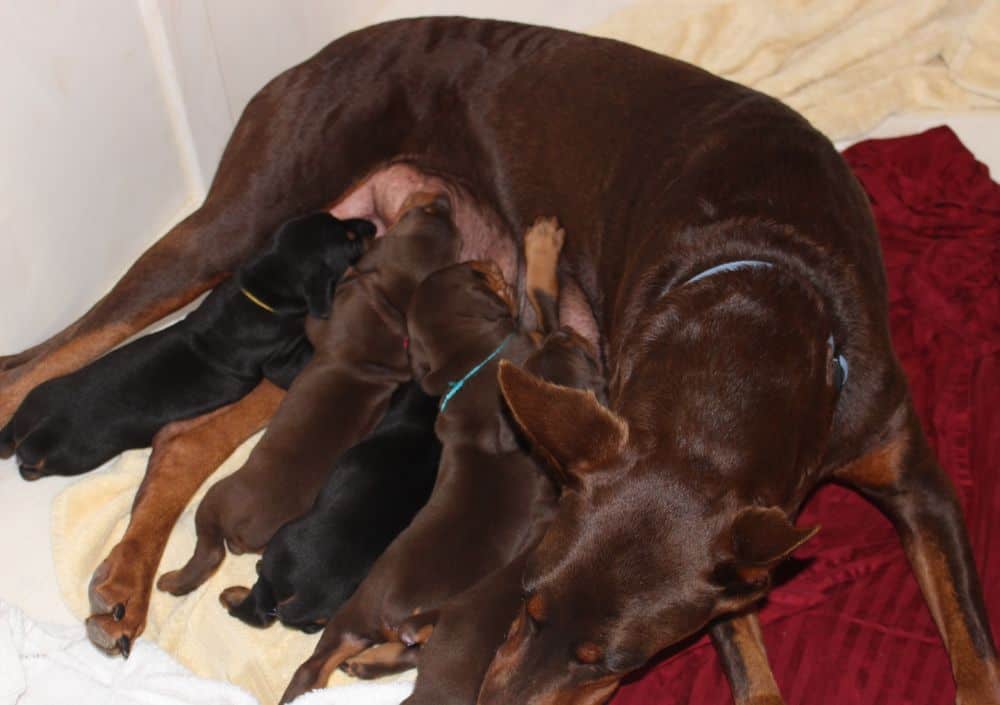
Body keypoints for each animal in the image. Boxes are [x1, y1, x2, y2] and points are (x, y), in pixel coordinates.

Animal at [0, 213, 376, 478]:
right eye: (349, 239)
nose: (371, 224)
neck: (264, 289)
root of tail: (30, 429)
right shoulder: (279, 359)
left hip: (40, 394)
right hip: (78, 454)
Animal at [158, 192, 462, 592]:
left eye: (416, 212)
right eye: (431, 214)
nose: (444, 197)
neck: (392, 300)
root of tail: (242, 530)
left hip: (212, 502)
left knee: (206, 553)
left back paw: (172, 581)